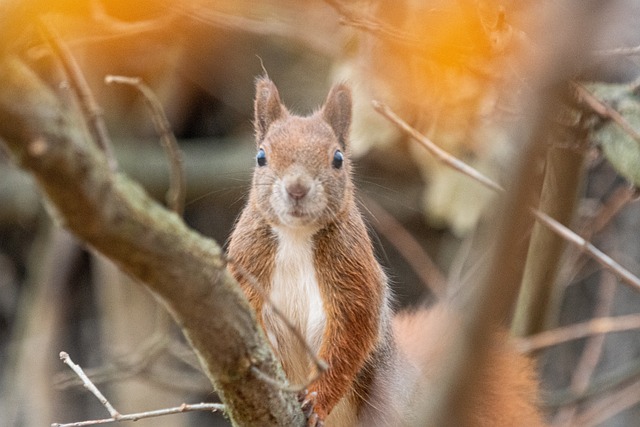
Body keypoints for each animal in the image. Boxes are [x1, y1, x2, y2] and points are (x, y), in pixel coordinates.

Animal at [226, 77, 544, 427]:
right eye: (261, 156)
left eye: (338, 158)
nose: (297, 189)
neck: (297, 236)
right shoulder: (246, 263)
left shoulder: (355, 277)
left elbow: (349, 339)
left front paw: (316, 401)